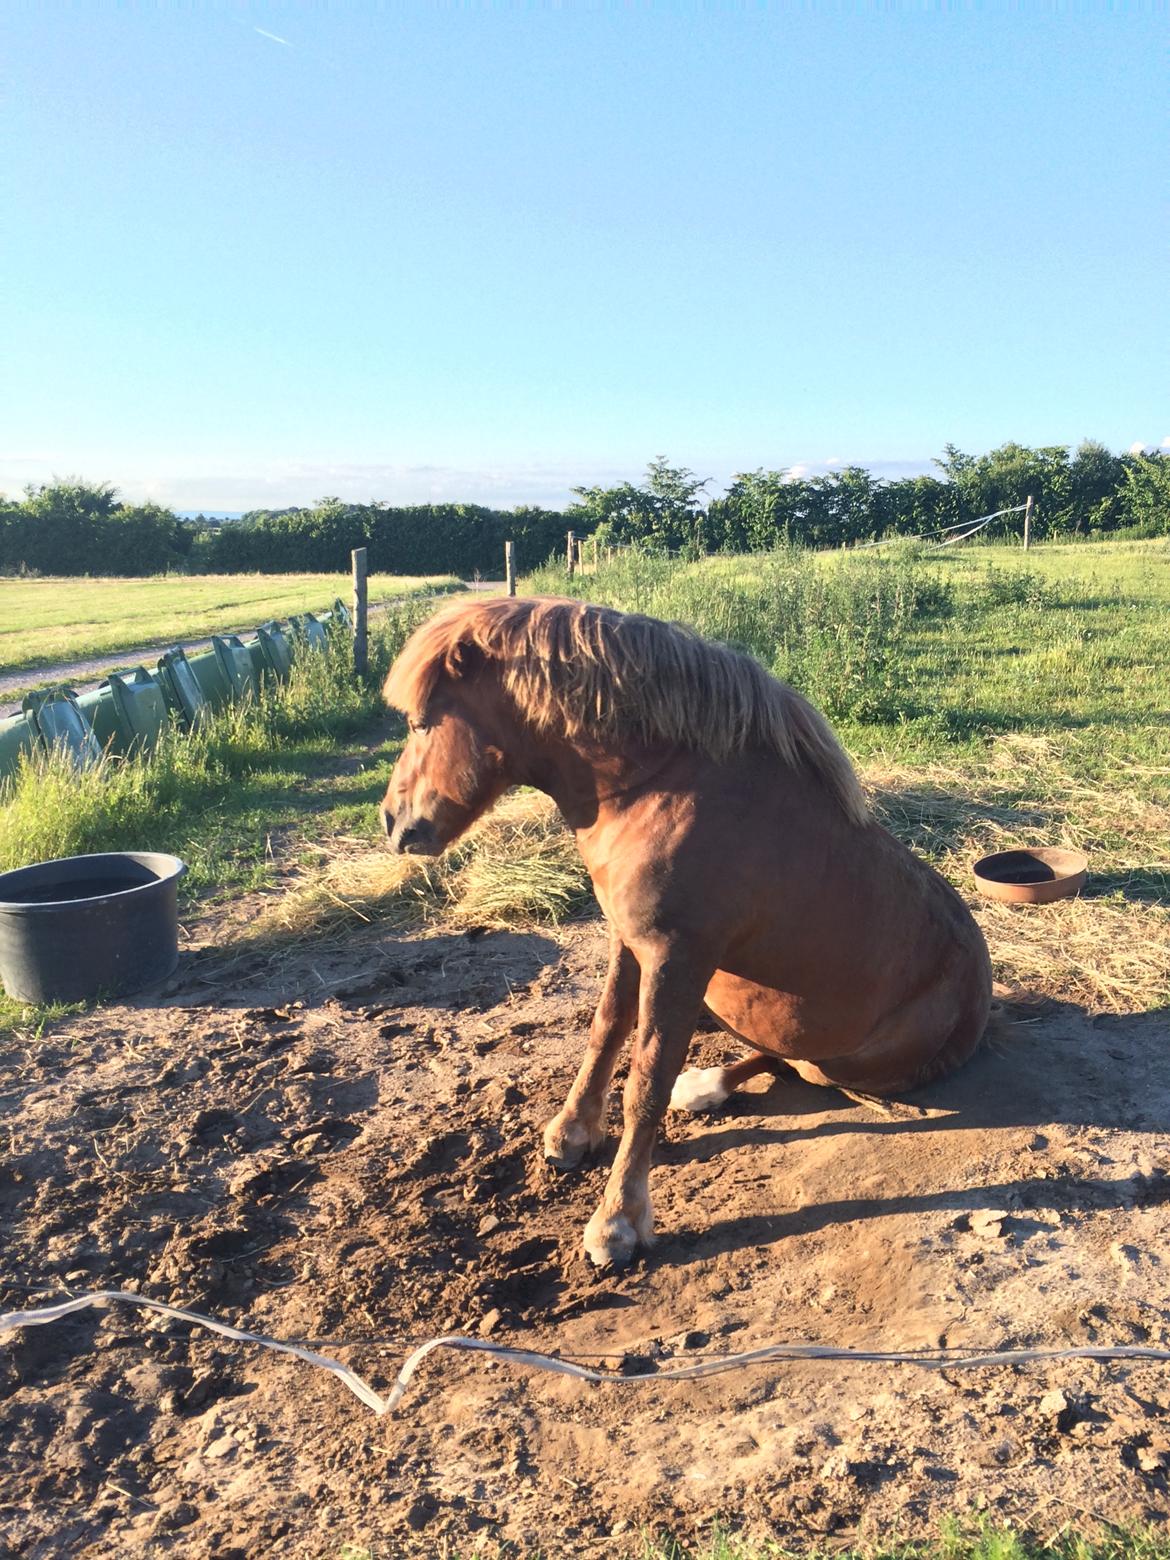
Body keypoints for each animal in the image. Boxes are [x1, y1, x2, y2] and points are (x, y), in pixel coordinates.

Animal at [380, 592, 992, 1266]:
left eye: (420, 724)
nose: (392, 821)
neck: (657, 788)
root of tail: (979, 1003)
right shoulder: (629, 940)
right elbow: (606, 1031)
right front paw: (571, 1134)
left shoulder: (678, 958)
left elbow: (645, 1082)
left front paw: (617, 1220)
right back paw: (705, 1086)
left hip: (842, 1063)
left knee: (795, 1064)